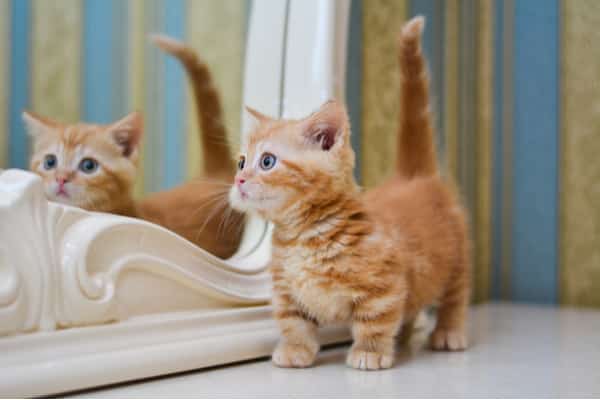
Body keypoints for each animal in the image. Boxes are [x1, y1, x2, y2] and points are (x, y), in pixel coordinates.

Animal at [229, 17, 468, 370]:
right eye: (241, 161)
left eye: (267, 161)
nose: (239, 180)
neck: (302, 236)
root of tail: (413, 176)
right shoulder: (286, 291)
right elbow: (293, 322)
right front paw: (296, 350)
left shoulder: (384, 287)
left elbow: (375, 321)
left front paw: (370, 352)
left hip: (458, 258)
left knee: (455, 296)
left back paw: (448, 332)